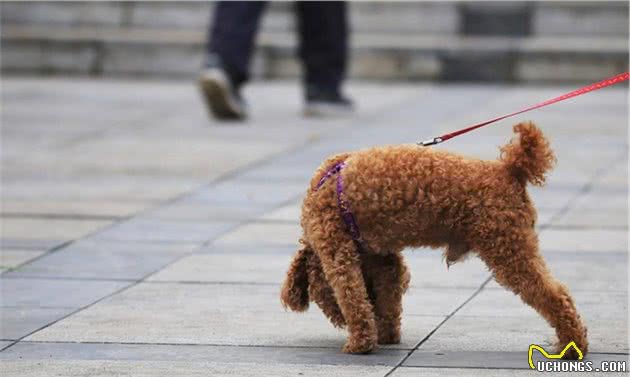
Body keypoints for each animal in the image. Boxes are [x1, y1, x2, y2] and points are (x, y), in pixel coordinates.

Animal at [282, 122, 588, 356]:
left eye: (320, 296)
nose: (338, 321)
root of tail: (509, 169)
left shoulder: (336, 250)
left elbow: (351, 295)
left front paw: (360, 341)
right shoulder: (384, 258)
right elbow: (388, 296)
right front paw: (386, 334)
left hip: (507, 246)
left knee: (553, 295)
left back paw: (571, 345)